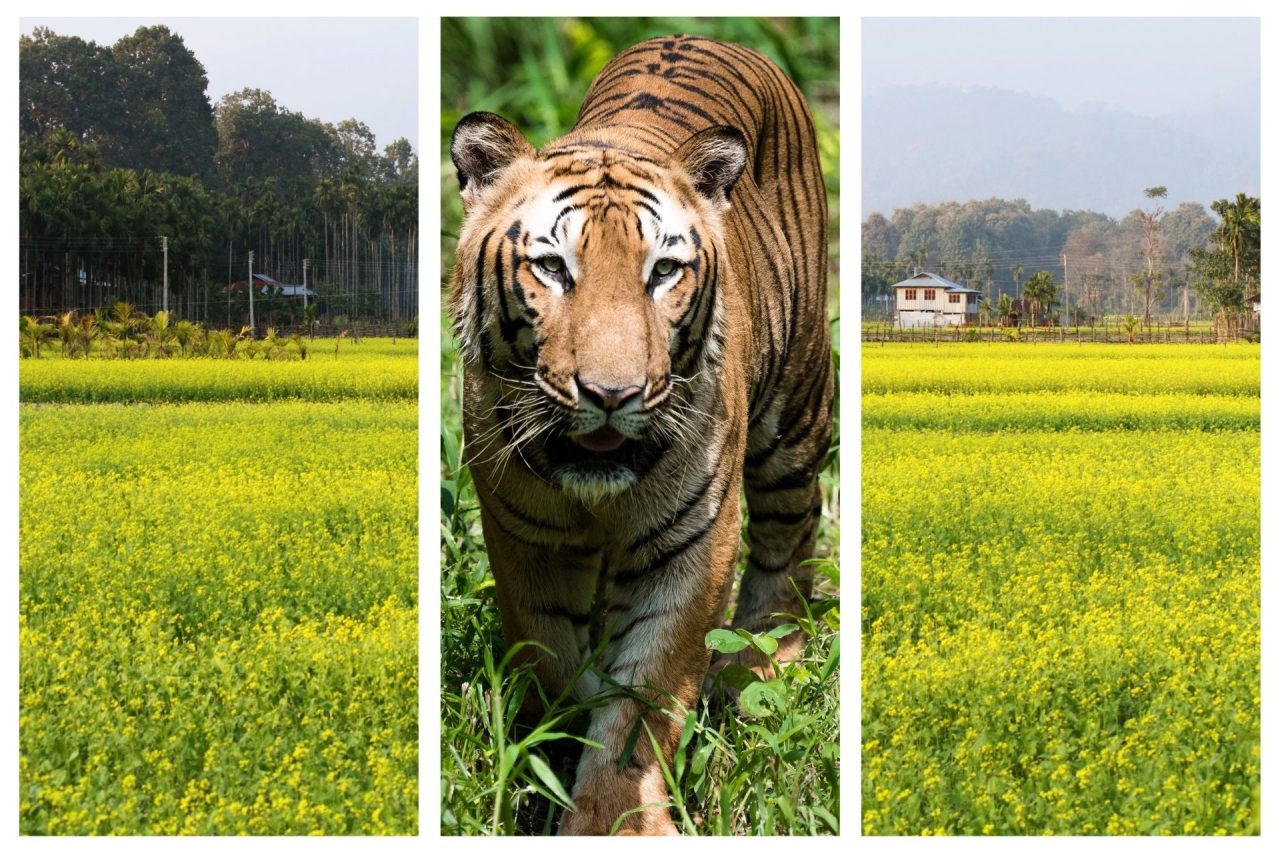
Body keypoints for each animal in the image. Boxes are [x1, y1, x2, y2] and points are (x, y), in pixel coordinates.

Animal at [453, 34, 839, 829]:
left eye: (663, 271)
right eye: (551, 266)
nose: (612, 393)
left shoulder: (692, 540)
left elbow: (645, 695)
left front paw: (612, 818)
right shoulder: (525, 536)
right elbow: (557, 659)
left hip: (794, 413)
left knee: (792, 532)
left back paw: (760, 665)